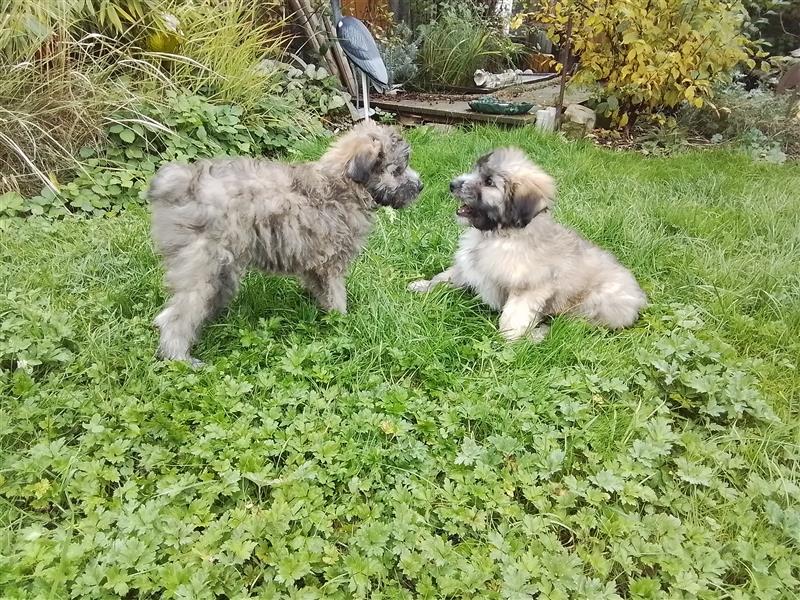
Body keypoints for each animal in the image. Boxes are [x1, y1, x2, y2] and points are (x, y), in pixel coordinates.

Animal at [152, 121, 424, 364]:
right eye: (397, 170)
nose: (421, 186)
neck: (340, 185)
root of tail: (181, 187)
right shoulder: (332, 263)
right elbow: (337, 295)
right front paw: (342, 322)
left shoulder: (315, 264)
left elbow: (321, 291)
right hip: (204, 265)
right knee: (175, 316)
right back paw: (180, 357)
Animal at [410, 146, 648, 342]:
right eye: (475, 170)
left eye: (489, 182)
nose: (452, 184)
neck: (499, 235)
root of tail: (640, 298)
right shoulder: (471, 267)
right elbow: (447, 276)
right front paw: (424, 285)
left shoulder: (530, 287)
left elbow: (512, 320)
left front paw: (515, 339)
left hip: (594, 305)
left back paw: (542, 332)